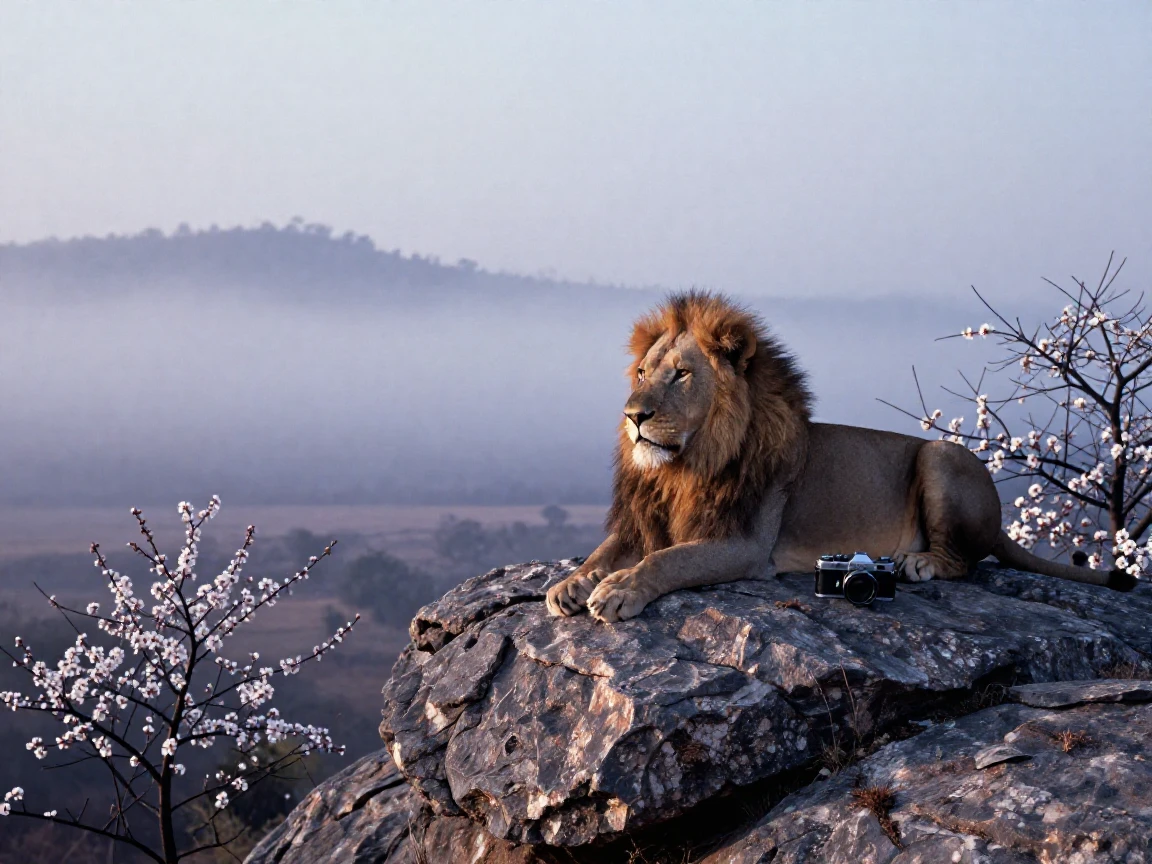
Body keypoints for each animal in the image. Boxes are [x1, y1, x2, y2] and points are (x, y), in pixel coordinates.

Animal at [546, 291, 1135, 624]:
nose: (632, 416)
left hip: (941, 455)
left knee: (966, 561)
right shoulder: (648, 519)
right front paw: (572, 584)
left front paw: (620, 589)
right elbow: (607, 551)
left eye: (682, 375)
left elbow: (666, 560)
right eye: (644, 372)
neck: (685, 467)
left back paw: (920, 562)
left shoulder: (745, 546)